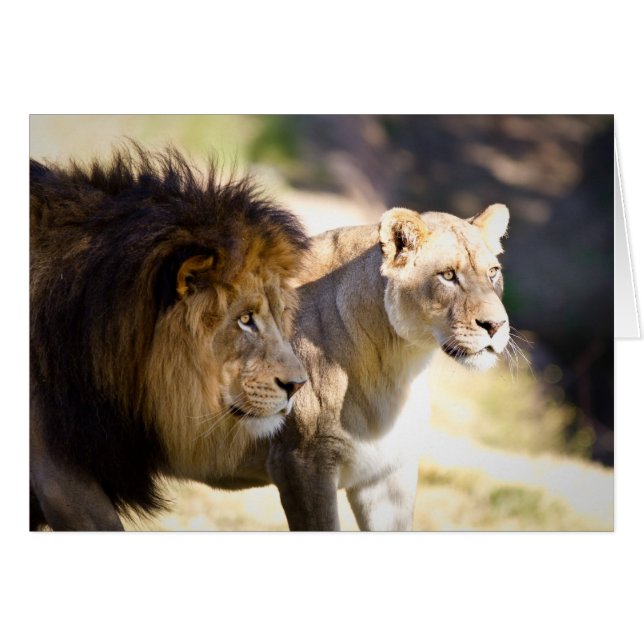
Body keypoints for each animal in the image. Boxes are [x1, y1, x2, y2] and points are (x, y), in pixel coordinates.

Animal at [207, 204, 511, 530]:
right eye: (448, 275)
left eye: (493, 272)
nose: (496, 325)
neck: (398, 364)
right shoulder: (300, 463)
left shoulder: (386, 475)